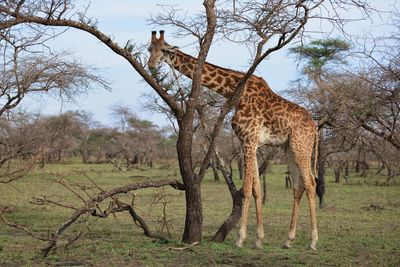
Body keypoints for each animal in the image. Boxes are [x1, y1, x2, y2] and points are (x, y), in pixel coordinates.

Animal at [147, 30, 318, 251]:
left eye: (164, 50)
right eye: (149, 49)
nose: (151, 64)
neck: (235, 92)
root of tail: (315, 127)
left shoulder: (249, 140)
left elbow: (245, 189)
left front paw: (241, 238)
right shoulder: (250, 142)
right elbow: (256, 189)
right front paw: (258, 239)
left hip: (301, 145)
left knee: (311, 184)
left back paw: (313, 241)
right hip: (289, 148)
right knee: (298, 187)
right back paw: (288, 240)